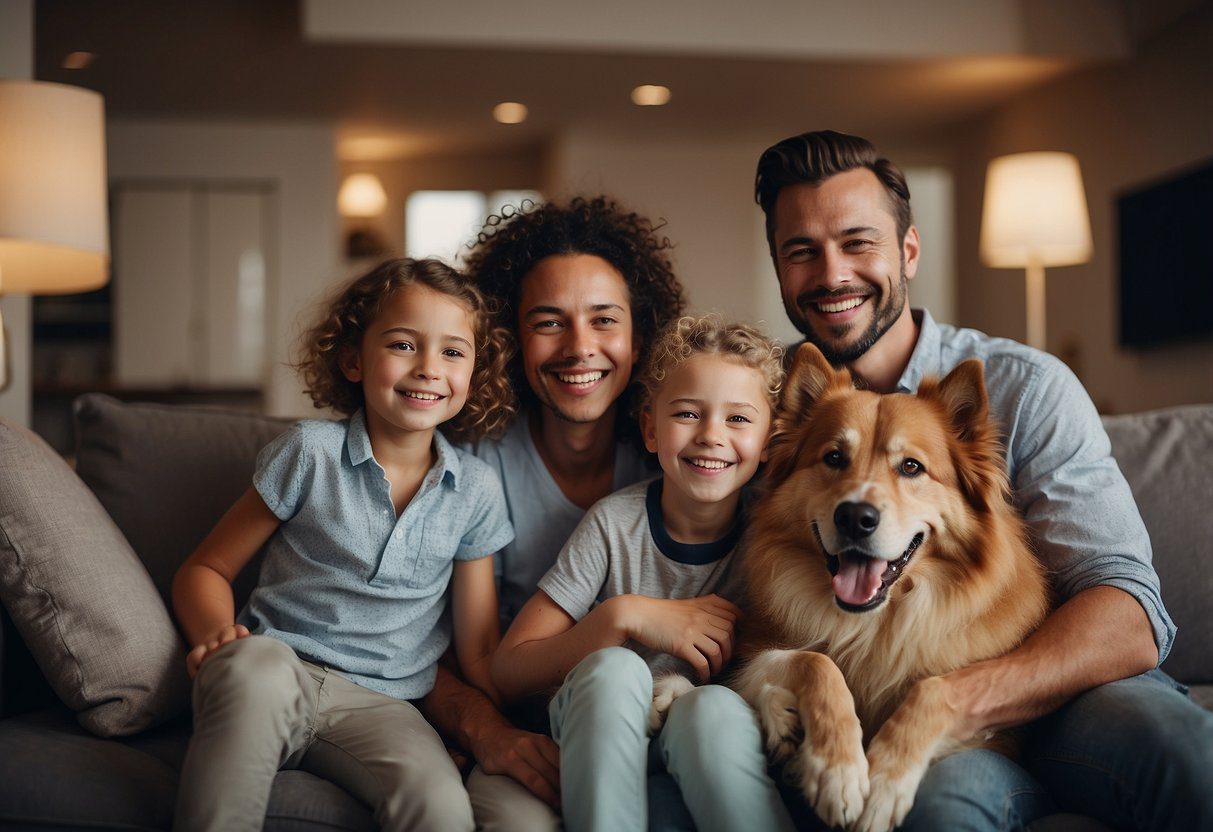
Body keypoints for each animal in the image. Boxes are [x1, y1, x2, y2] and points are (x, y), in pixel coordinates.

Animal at [727, 339, 1052, 832]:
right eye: (834, 457)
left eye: (912, 467)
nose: (855, 517)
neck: (876, 625)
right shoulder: (758, 647)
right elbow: (816, 662)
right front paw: (837, 768)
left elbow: (933, 690)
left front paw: (883, 780)